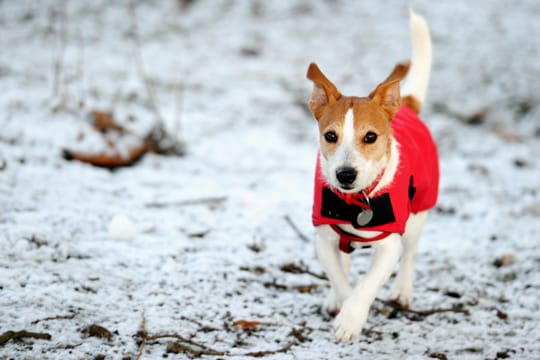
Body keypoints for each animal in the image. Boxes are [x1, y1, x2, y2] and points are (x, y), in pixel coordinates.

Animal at [306, 9, 436, 342]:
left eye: (370, 137)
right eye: (330, 135)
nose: (345, 175)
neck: (356, 201)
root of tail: (407, 105)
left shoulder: (388, 245)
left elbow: (367, 284)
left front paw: (351, 319)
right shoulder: (324, 238)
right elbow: (340, 278)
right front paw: (341, 301)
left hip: (418, 213)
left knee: (411, 254)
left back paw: (402, 292)